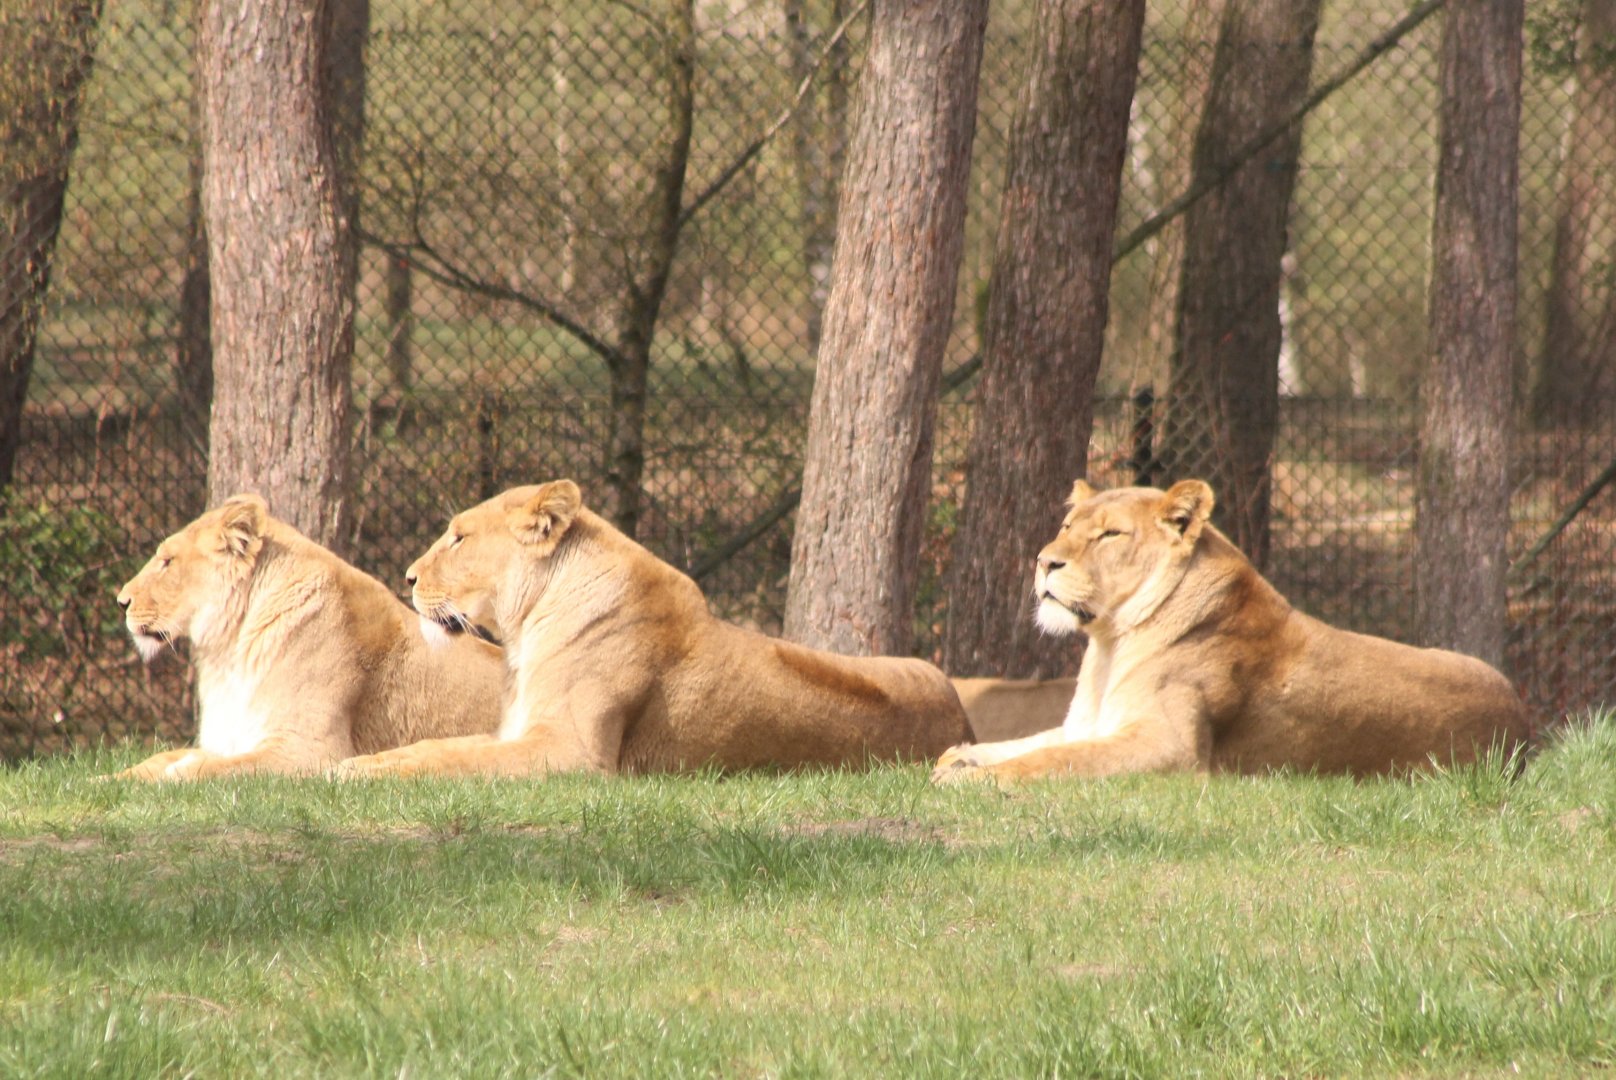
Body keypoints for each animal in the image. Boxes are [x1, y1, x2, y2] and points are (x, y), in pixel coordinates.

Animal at [109, 494, 505, 781]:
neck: (229, 649)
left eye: (167, 562)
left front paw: (179, 773)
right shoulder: (231, 736)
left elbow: (213, 768)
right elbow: (155, 760)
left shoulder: (310, 751)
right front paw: (108, 782)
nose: (121, 601)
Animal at [335, 479, 972, 778]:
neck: (527, 628)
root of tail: (962, 717)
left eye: (459, 537)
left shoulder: (574, 754)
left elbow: (454, 763)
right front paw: (357, 765)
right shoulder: (516, 732)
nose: (408, 576)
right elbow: (438, 748)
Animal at [933, 479, 1532, 784]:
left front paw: (971, 779)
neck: (1110, 644)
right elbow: (1023, 743)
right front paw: (956, 757)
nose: (1043, 561)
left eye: (1109, 535)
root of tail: (1522, 723)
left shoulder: (1173, 750)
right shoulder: (1089, 724)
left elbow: (1056, 761)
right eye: (1065, 527)